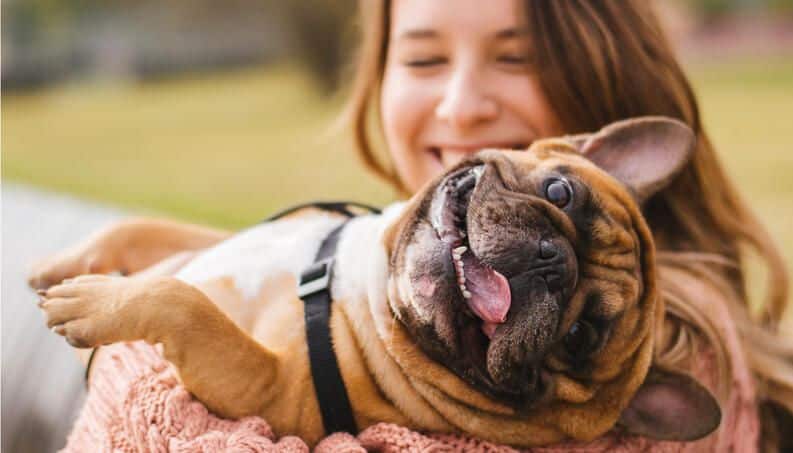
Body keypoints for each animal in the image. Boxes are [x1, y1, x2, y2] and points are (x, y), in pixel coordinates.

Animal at [31, 116, 720, 444]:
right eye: (559, 192)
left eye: (580, 336)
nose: (553, 261)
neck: (362, 283)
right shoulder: (216, 241)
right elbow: (146, 230)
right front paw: (65, 265)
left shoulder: (267, 390)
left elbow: (184, 303)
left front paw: (93, 303)